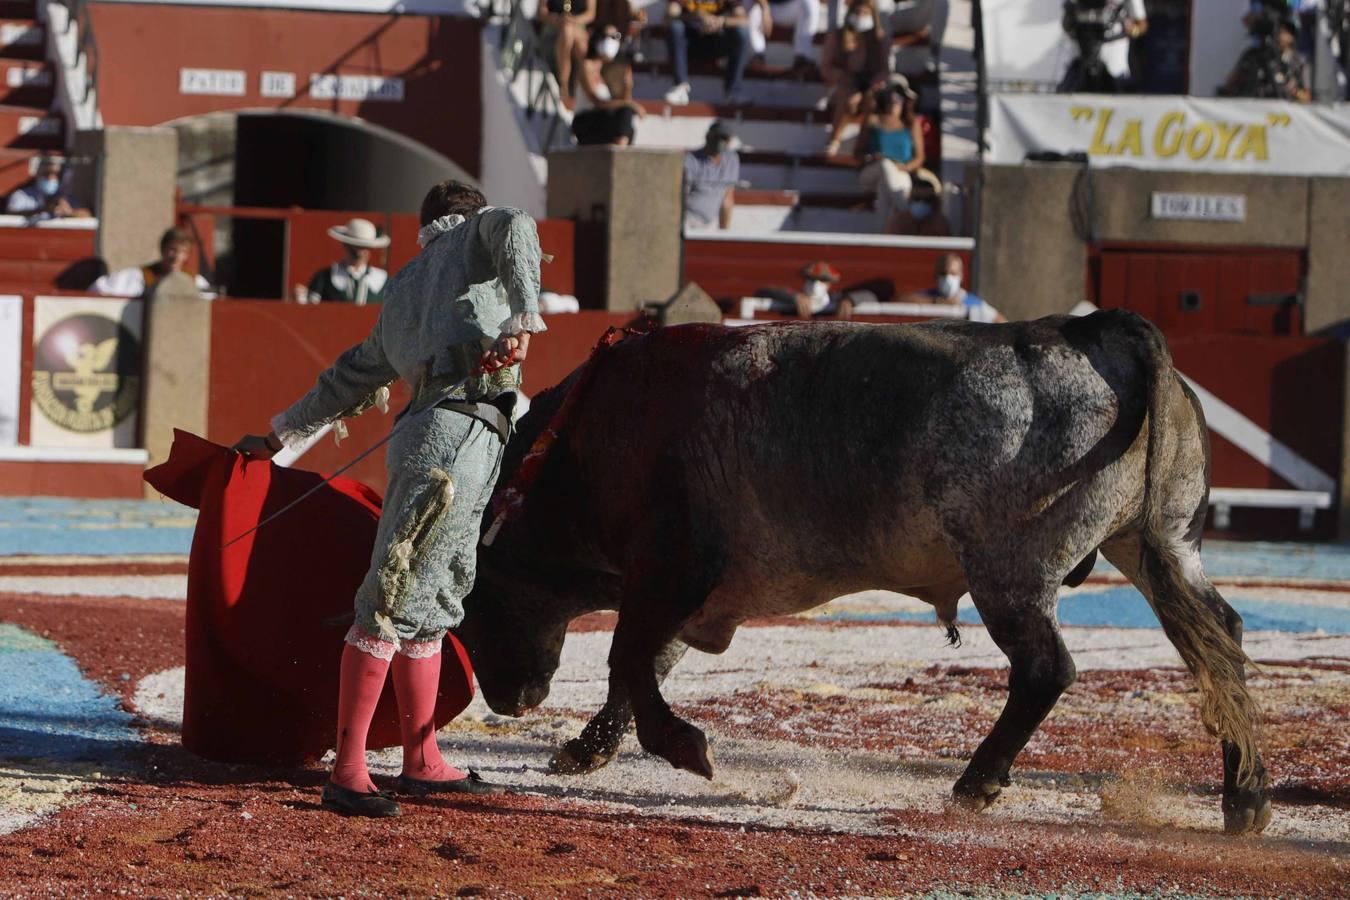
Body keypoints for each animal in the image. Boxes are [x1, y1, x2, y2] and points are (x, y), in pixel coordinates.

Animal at [459, 313, 1269, 836]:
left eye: (473, 594)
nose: (510, 699)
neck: (588, 441)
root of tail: (1097, 333)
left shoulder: (671, 568)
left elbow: (629, 655)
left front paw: (685, 748)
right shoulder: (691, 594)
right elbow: (642, 665)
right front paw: (585, 750)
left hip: (1008, 573)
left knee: (1048, 668)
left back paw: (975, 784)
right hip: (1160, 544)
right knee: (1218, 642)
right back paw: (1247, 800)